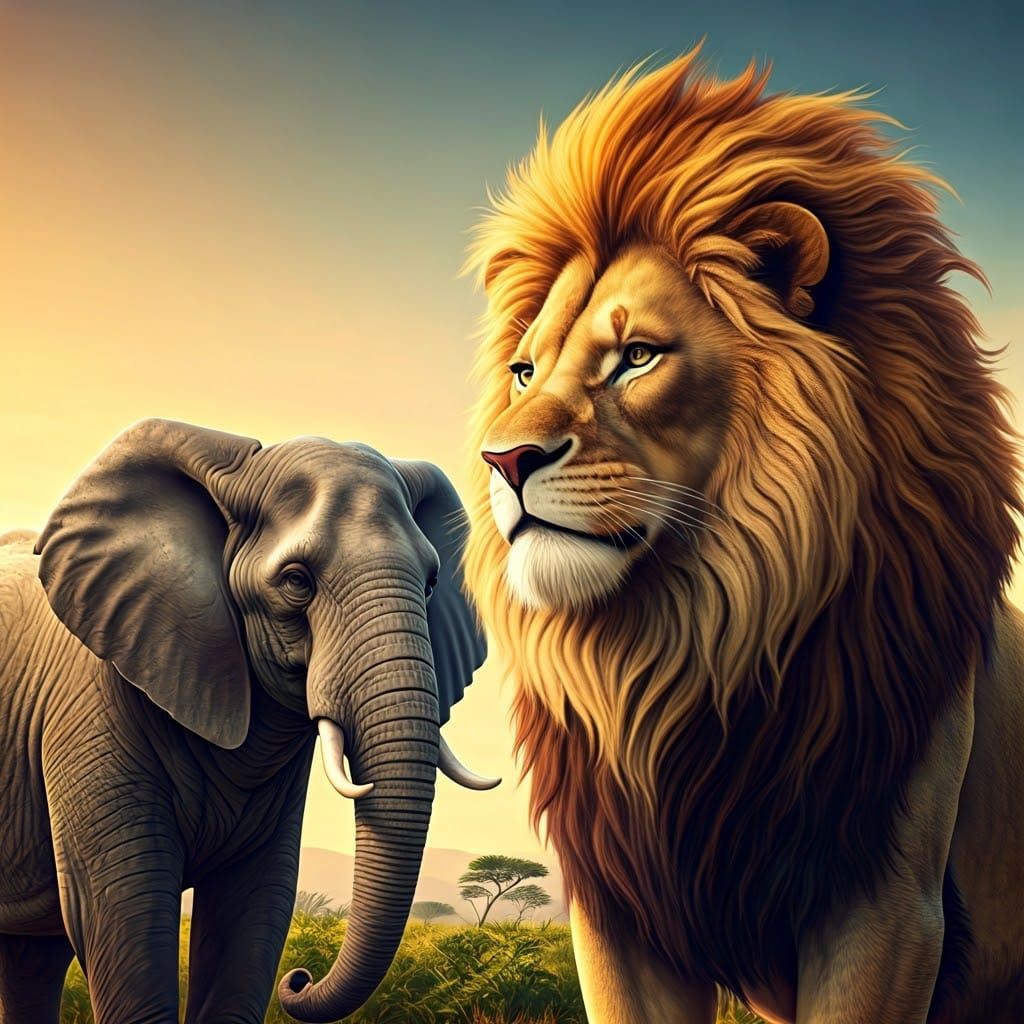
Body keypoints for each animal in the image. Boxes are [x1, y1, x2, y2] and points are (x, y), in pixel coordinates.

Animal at [0, 418, 499, 1024]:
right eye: (296, 581)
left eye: (430, 584)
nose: (300, 979)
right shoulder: (91, 706)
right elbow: (122, 907)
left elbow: (252, 909)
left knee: (32, 957)